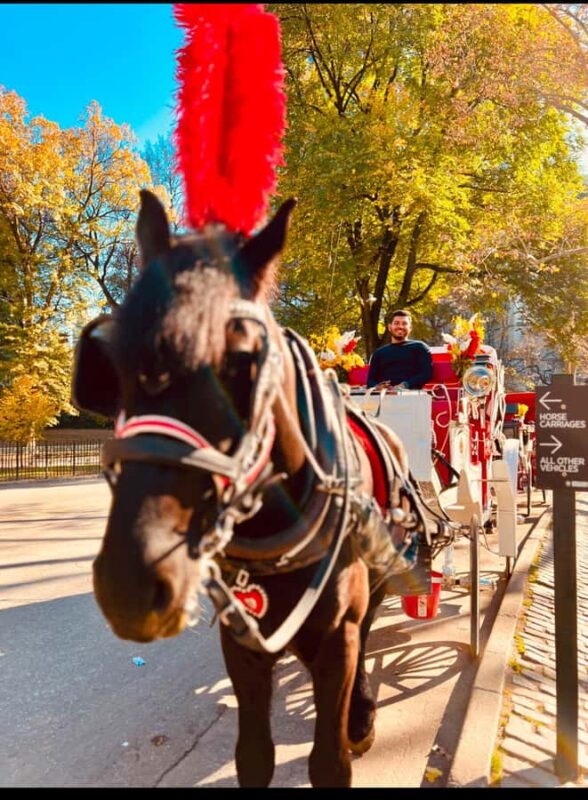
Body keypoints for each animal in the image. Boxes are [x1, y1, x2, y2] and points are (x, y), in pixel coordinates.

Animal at [72, 189, 431, 788]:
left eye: (242, 361)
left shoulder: (337, 636)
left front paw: (351, 725)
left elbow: (328, 761)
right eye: (112, 364)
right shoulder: (241, 639)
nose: (129, 584)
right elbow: (254, 756)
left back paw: (360, 715)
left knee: (369, 627)